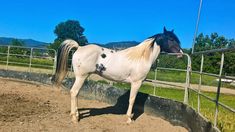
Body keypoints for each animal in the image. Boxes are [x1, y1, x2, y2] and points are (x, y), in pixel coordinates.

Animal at [53, 27, 184, 124]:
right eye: (171, 39)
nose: (181, 54)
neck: (141, 57)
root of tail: (79, 47)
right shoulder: (136, 83)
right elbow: (132, 100)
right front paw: (129, 119)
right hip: (81, 77)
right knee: (74, 92)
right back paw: (75, 118)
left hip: (81, 77)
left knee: (76, 94)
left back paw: (76, 114)